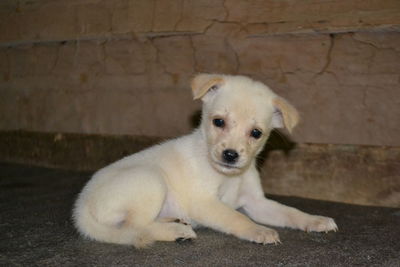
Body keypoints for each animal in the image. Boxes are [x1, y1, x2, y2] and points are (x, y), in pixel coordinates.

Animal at [72, 74, 338, 249]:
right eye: (218, 122)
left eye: (256, 133)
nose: (230, 155)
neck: (228, 177)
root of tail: (81, 206)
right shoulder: (204, 202)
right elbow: (236, 217)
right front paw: (259, 230)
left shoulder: (256, 203)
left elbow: (289, 212)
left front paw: (314, 220)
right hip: (151, 180)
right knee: (134, 227)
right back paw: (176, 231)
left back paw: (175, 223)